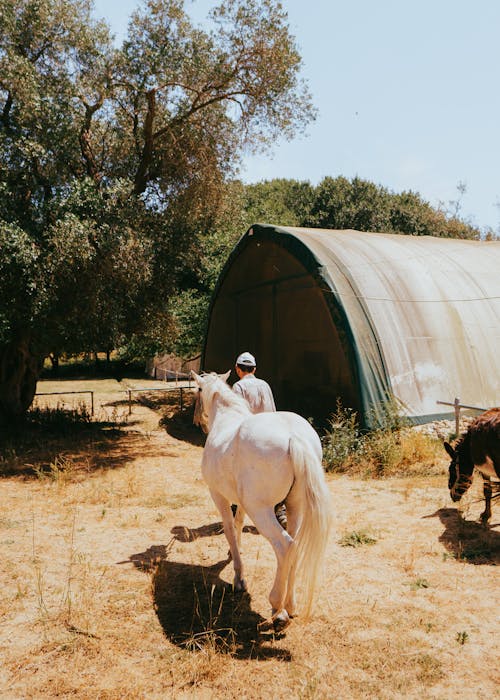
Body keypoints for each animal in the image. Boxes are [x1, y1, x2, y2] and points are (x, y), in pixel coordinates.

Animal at [192, 372, 332, 628]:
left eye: (197, 389)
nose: (198, 421)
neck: (227, 417)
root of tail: (294, 437)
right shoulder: (241, 502)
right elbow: (237, 524)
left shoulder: (218, 495)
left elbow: (229, 528)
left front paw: (239, 578)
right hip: (295, 507)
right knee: (295, 546)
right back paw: (290, 605)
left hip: (261, 511)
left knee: (284, 546)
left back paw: (277, 605)